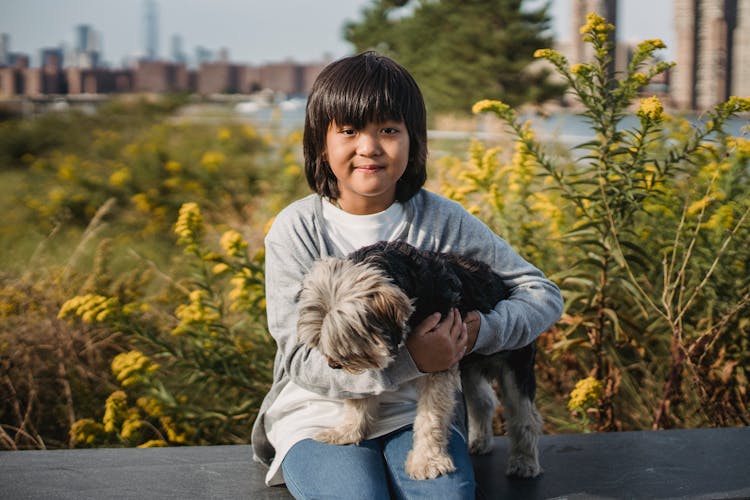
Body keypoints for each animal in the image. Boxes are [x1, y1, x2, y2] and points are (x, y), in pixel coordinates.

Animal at [296, 240, 544, 478]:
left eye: (347, 350)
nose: (333, 365)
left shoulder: (440, 359)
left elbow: (431, 417)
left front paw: (428, 462)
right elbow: (360, 398)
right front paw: (346, 432)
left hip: (515, 367)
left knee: (525, 416)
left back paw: (525, 463)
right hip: (469, 367)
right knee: (484, 401)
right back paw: (481, 442)